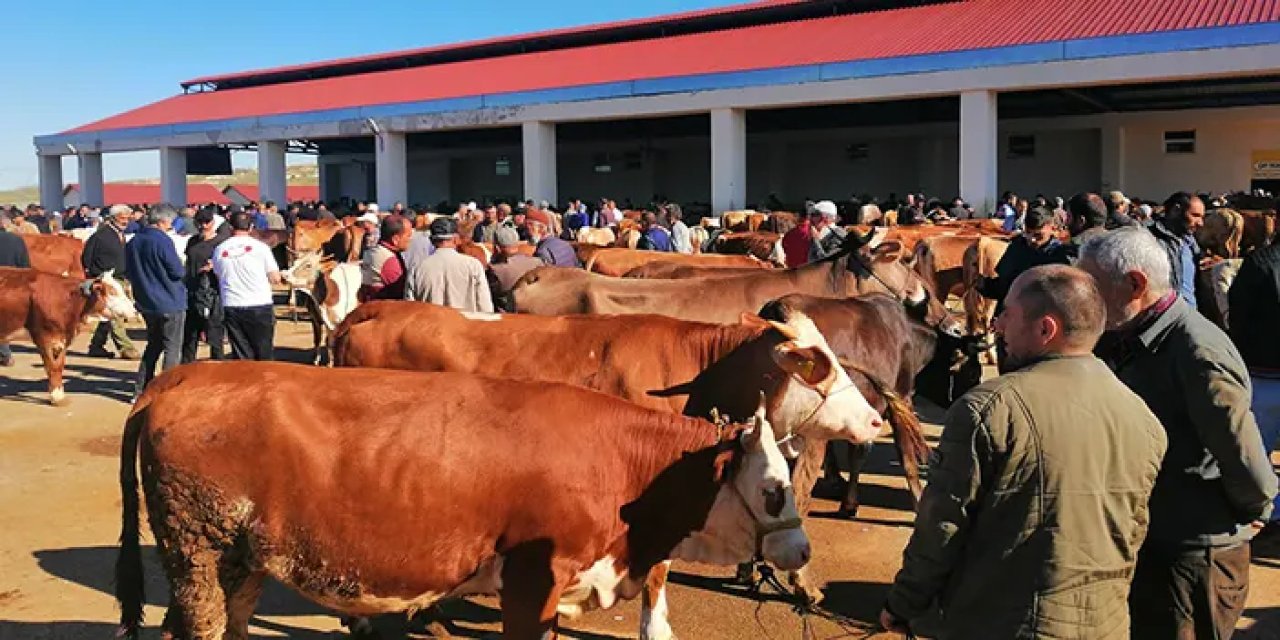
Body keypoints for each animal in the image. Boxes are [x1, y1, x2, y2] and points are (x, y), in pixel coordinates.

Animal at [0, 267, 138, 401]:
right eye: (112, 292)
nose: (134, 311)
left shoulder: (63, 339)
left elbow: (59, 365)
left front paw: (59, 393)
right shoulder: (44, 337)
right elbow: (52, 366)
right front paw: (56, 396)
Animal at [115, 363, 803, 637]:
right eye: (773, 490)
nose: (801, 549)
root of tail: (185, 376)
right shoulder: (532, 580)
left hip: (240, 559)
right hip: (198, 552)